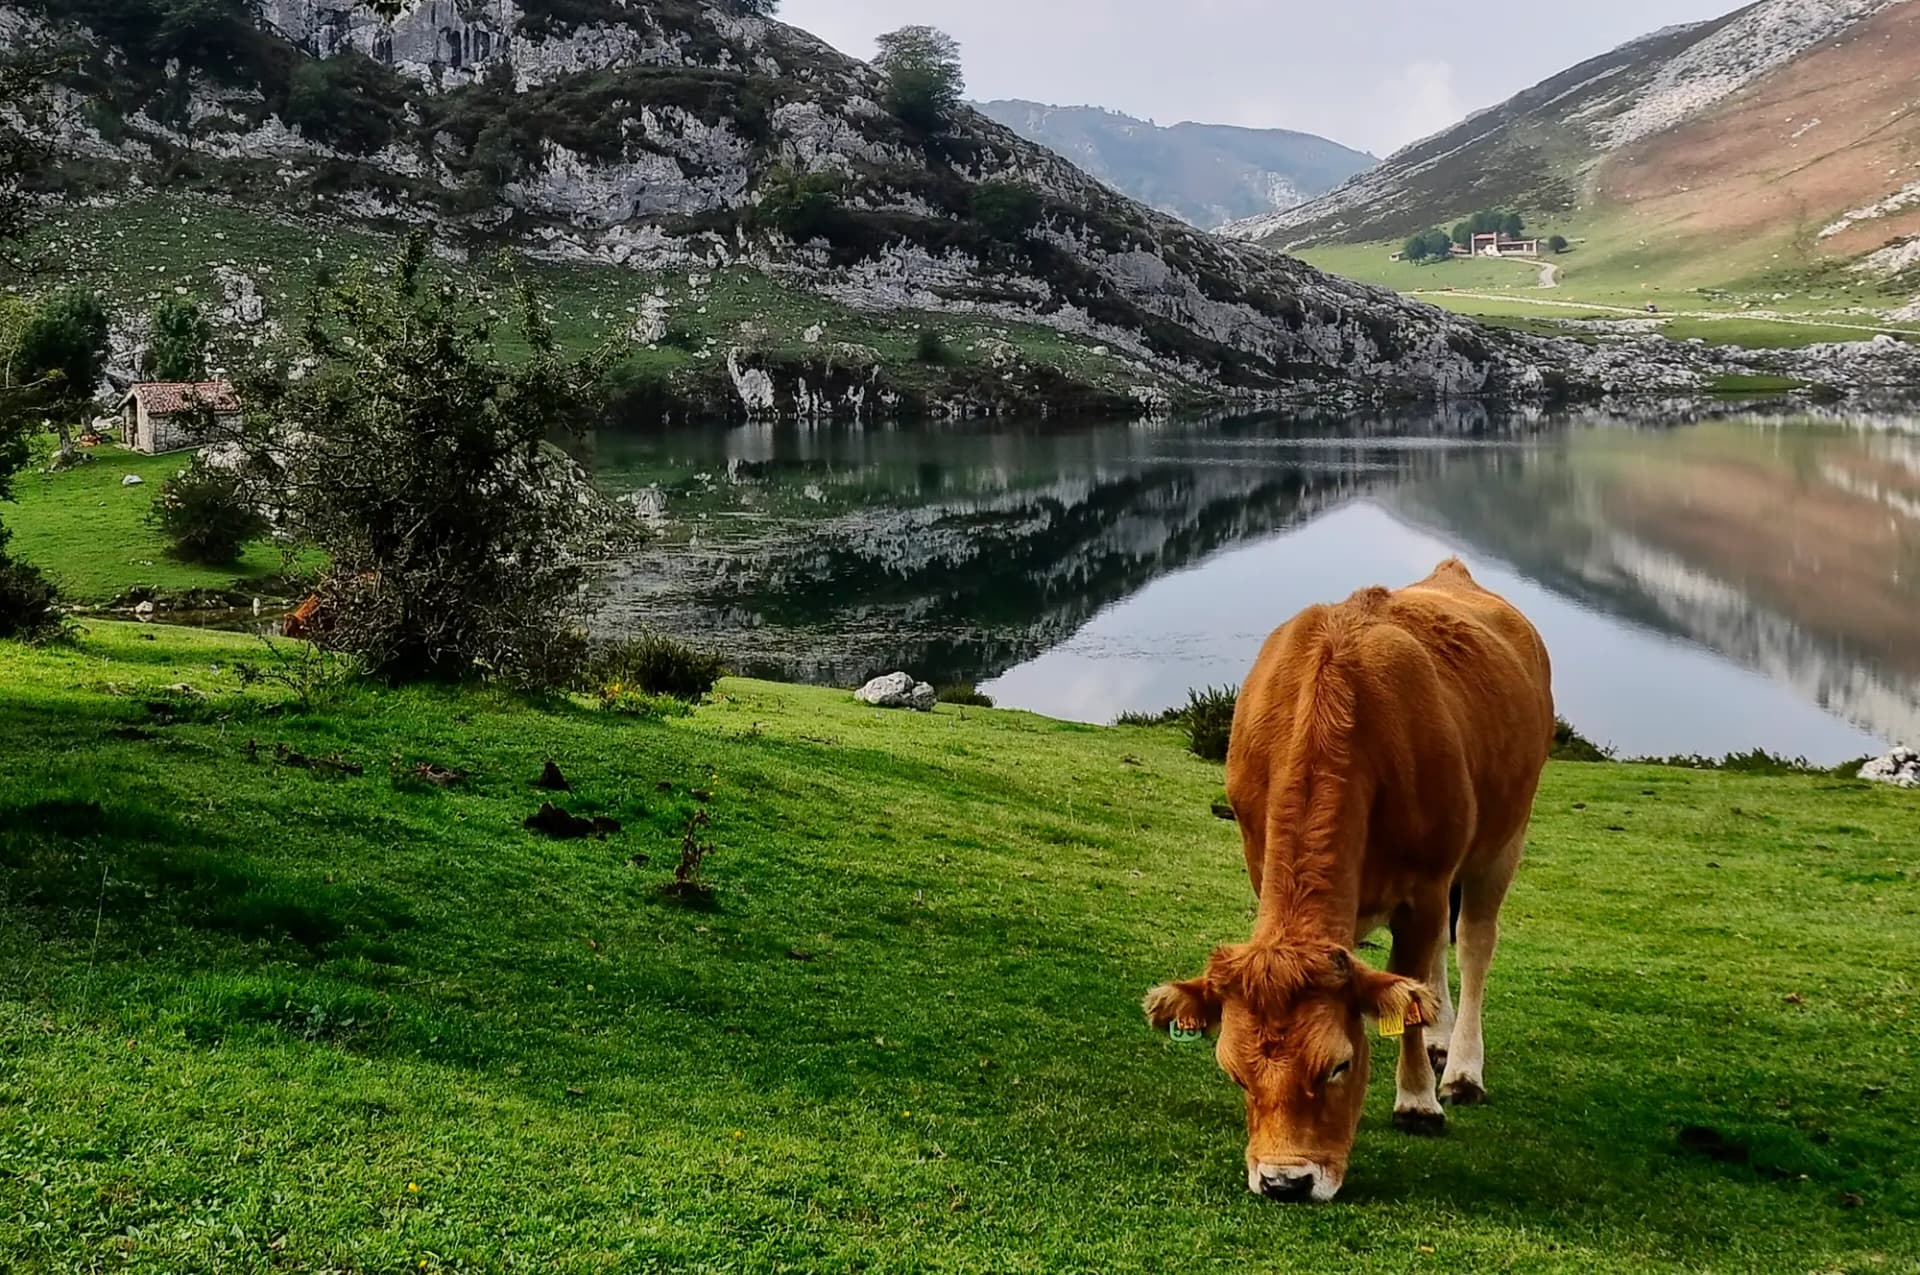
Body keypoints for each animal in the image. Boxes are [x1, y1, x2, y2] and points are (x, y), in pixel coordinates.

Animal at [1144, 558, 1553, 1203]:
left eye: (1338, 1065)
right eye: (1233, 1074)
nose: (1285, 1182)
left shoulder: (1425, 885)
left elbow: (1408, 991)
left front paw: (1418, 1102)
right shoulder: (1261, 863)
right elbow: (1411, 984)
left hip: (1504, 836)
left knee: (1472, 946)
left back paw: (1462, 1068)